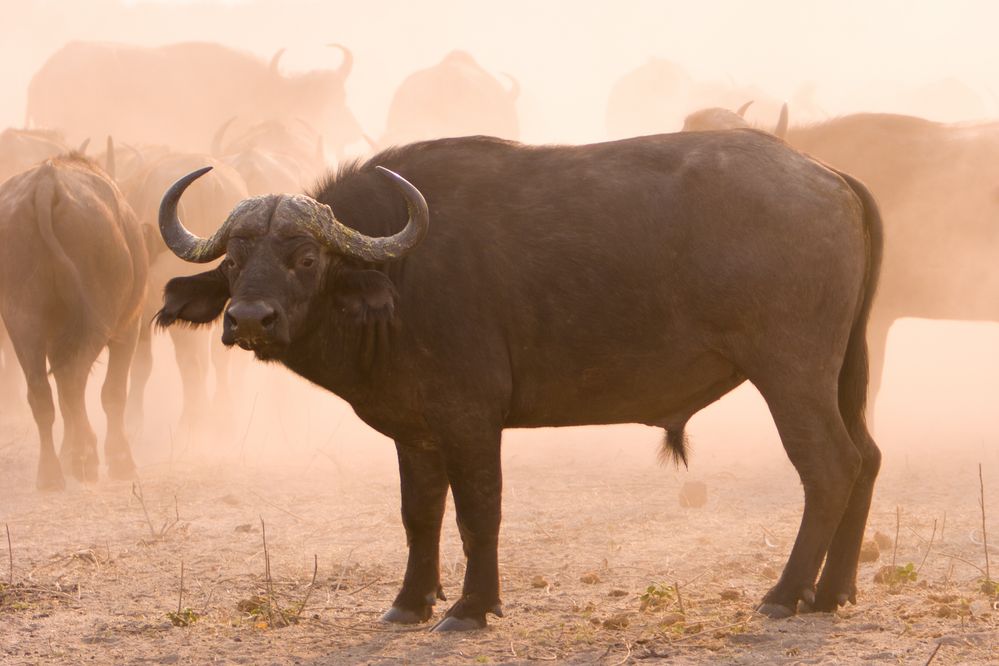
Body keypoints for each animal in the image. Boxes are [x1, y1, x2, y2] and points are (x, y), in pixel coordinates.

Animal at [0, 152, 148, 488]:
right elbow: (112, 392)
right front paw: (120, 460)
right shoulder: (128, 328)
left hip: (23, 319)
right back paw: (85, 457)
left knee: (42, 391)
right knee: (73, 380)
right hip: (95, 320)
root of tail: (46, 185)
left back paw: (51, 473)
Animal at [152, 131, 880, 628]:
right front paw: (410, 602)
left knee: (829, 466)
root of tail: (827, 174)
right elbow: (419, 514)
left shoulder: (471, 420)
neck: (403, 277)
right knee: (866, 458)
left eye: (305, 258)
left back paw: (785, 594)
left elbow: (479, 510)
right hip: (842, 375)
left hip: (790, 372)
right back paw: (833, 591)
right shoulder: (414, 431)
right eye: (234, 261)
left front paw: (472, 607)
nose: (249, 319)